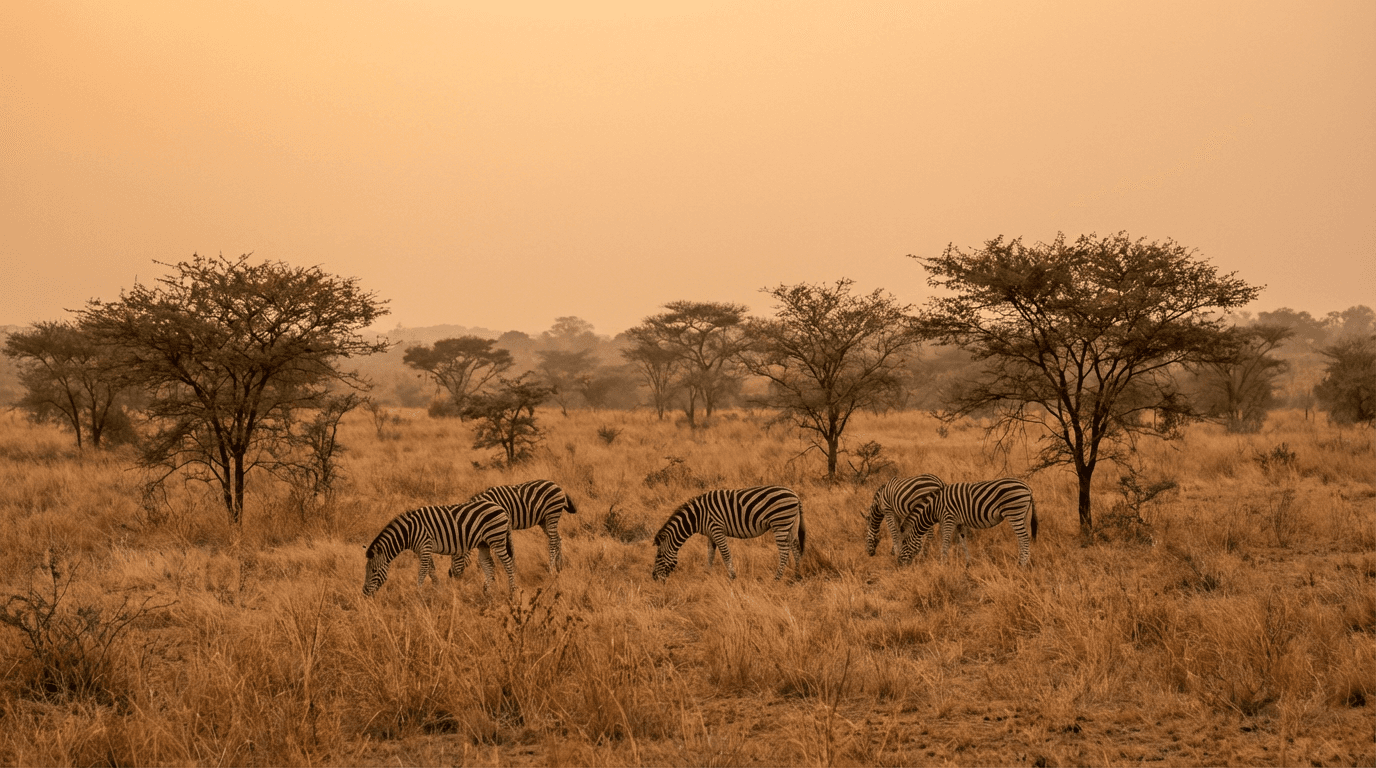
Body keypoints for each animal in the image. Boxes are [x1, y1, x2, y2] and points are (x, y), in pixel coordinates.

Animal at [363, 499, 516, 596]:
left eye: (374, 571)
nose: (364, 593)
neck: (409, 531)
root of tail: (501, 508)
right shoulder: (422, 549)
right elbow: (431, 570)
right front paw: (438, 590)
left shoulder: (425, 546)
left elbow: (423, 571)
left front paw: (418, 592)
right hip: (483, 543)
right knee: (489, 565)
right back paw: (487, 592)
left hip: (496, 539)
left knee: (508, 563)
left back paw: (512, 591)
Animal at [651, 485, 805, 582]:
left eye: (659, 556)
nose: (653, 578)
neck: (697, 517)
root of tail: (795, 496)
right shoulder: (710, 534)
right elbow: (710, 554)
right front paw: (706, 574)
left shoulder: (716, 529)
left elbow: (725, 554)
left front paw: (732, 577)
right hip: (791, 523)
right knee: (796, 547)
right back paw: (797, 575)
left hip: (780, 523)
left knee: (784, 552)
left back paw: (777, 578)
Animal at [897, 478, 1038, 567]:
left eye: (904, 542)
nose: (898, 564)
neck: (934, 508)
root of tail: (1028, 488)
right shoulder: (960, 523)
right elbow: (963, 541)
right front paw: (967, 564)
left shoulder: (948, 520)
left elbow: (945, 542)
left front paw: (942, 564)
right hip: (1022, 516)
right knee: (1023, 538)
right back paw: (1023, 561)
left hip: (1014, 513)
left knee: (1024, 538)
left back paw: (1021, 565)